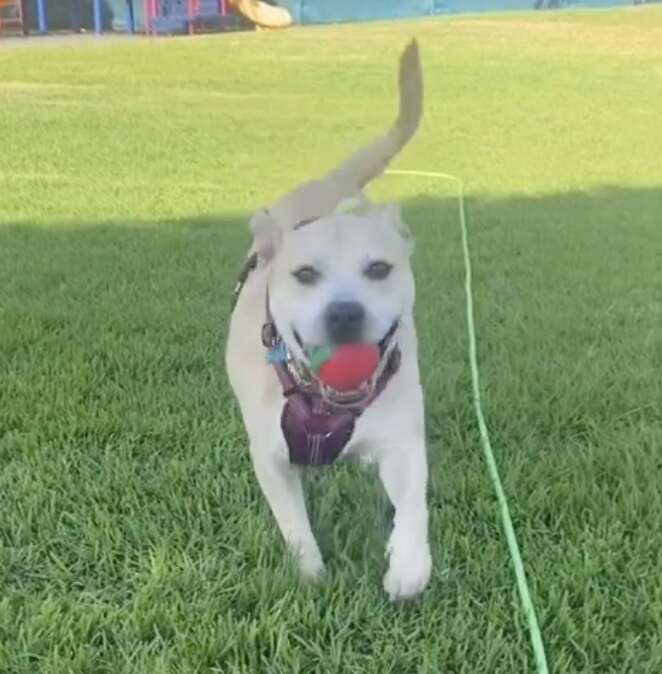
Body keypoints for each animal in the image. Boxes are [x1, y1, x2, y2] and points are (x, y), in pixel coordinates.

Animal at [226, 40, 434, 600]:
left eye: (379, 268)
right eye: (304, 274)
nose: (344, 312)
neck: (322, 402)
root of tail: (331, 183)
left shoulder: (403, 437)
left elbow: (413, 502)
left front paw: (408, 565)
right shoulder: (271, 457)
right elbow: (293, 522)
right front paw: (310, 573)